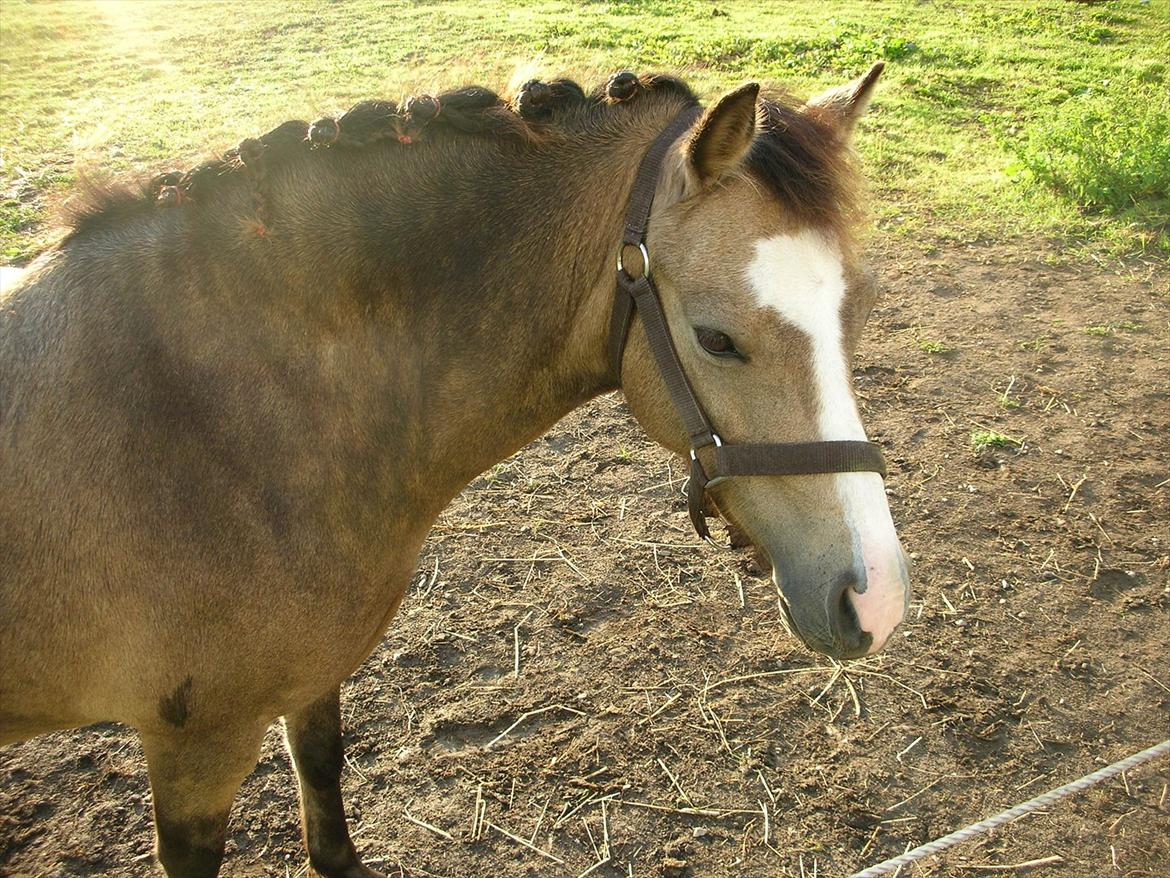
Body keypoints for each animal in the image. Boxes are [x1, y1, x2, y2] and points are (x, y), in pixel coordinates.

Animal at [0, 66, 909, 877]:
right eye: (717, 339)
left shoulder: (312, 674)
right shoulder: (196, 748)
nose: (877, 598)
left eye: (859, 307)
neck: (212, 411)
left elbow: (320, 764)